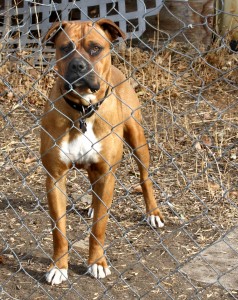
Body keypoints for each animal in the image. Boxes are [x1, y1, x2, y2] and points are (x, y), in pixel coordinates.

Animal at [41, 19, 164, 286]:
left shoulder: (107, 174)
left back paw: (153, 213)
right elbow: (58, 230)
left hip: (138, 140)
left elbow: (99, 226)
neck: (83, 111)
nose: (78, 65)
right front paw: (59, 267)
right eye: (65, 48)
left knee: (145, 178)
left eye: (95, 48)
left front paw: (97, 263)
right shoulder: (54, 177)